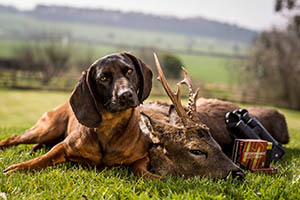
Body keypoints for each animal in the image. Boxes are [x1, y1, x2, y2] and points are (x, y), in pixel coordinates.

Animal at [0, 52, 159, 178]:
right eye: (103, 78)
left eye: (130, 71)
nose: (125, 95)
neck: (109, 127)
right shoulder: (63, 147)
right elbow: (42, 159)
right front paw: (19, 168)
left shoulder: (144, 155)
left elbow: (138, 168)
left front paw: (154, 178)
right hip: (46, 131)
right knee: (14, 138)